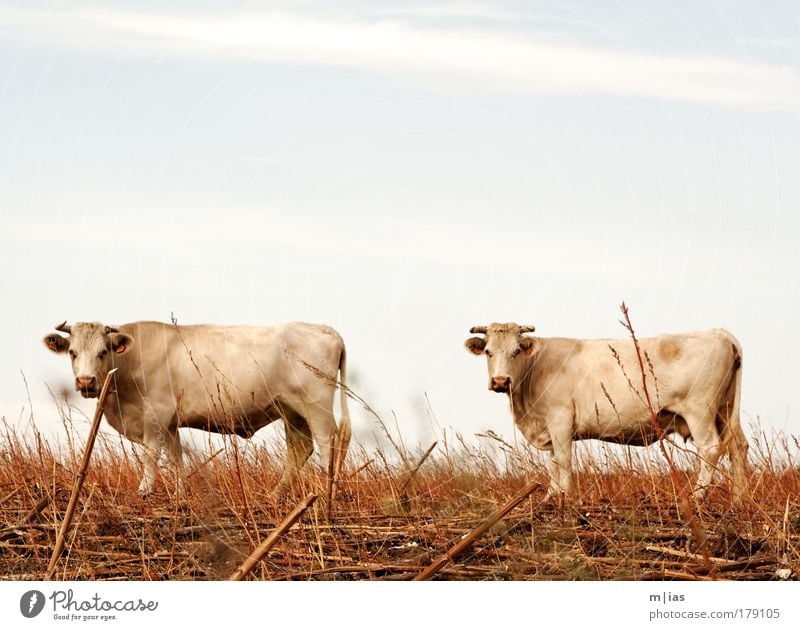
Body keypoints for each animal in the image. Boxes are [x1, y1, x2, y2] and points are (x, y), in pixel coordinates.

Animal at [43, 320, 350, 498]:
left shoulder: (156, 415)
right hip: (292, 411)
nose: (86, 381)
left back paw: (327, 492)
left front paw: (145, 490)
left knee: (327, 444)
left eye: (102, 352)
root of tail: (326, 330)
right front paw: (181, 493)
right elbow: (176, 456)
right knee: (299, 449)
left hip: (316, 406)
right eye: (72, 353)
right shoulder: (169, 423)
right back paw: (276, 495)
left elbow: (151, 455)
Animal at [462, 324, 752, 506]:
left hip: (699, 410)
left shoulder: (560, 419)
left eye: (516, 351)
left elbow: (563, 461)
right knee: (738, 448)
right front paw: (551, 497)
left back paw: (697, 497)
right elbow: (554, 462)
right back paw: (739, 500)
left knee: (710, 448)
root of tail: (720, 333)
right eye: (488, 352)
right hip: (725, 411)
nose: (501, 381)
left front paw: (565, 497)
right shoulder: (549, 425)